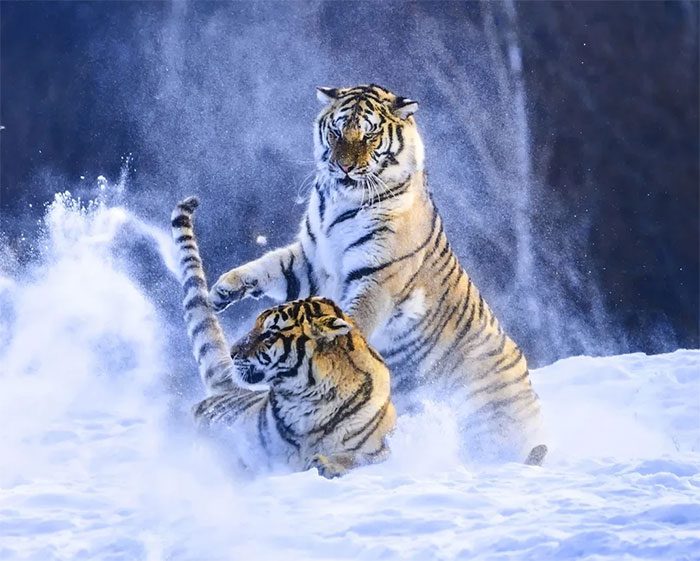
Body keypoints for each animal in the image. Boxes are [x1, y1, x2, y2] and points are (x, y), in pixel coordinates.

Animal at [172, 197, 396, 476]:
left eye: (268, 333)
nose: (233, 353)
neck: (309, 401)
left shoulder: (379, 449)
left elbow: (357, 459)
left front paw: (325, 463)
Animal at [211, 84, 548, 464]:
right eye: (336, 131)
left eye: (369, 135)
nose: (344, 167)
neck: (339, 201)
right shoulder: (313, 259)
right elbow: (271, 265)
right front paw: (223, 289)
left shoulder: (376, 277)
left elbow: (354, 317)